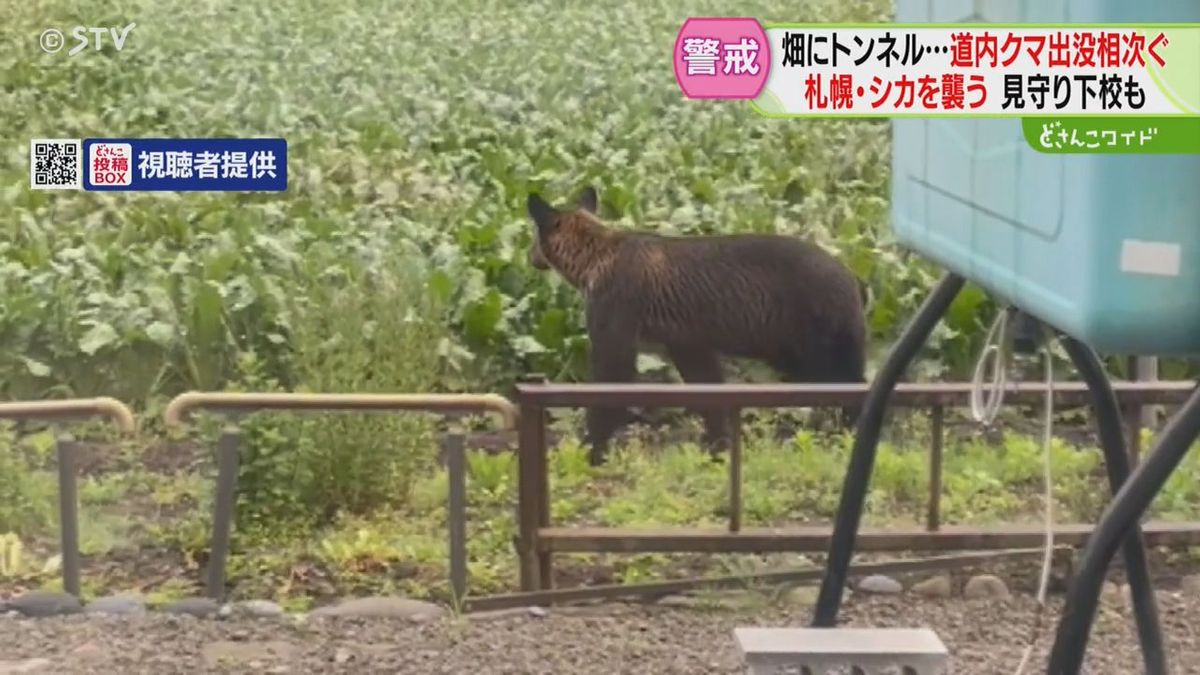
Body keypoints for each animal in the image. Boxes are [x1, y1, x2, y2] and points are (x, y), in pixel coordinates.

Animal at [525, 186, 864, 466]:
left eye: (533, 237)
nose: (530, 256)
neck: (594, 259)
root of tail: (854, 281)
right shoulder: (687, 341)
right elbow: (708, 390)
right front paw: (718, 447)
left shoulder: (615, 319)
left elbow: (610, 385)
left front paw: (589, 450)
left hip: (811, 341)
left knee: (845, 385)